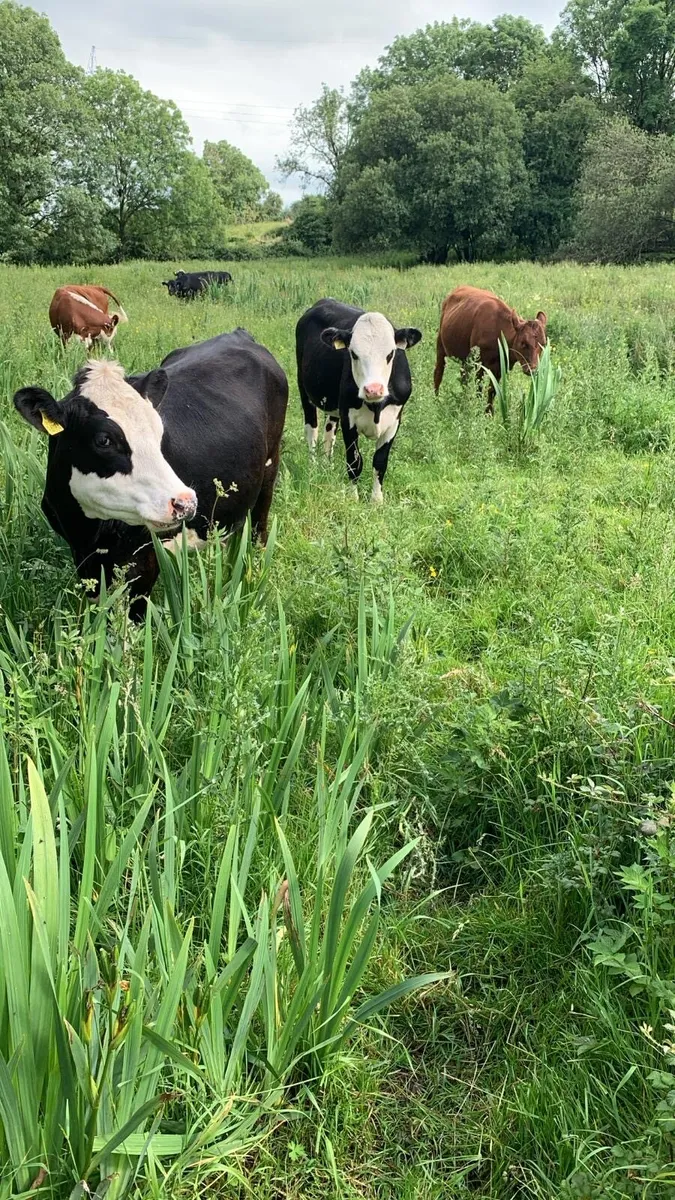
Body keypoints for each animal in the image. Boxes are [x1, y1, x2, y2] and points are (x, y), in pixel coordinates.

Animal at [13, 329, 288, 619]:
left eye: (159, 430)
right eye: (104, 440)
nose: (185, 502)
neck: (91, 532)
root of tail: (236, 334)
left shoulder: (145, 559)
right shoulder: (84, 558)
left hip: (270, 466)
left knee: (259, 525)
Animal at [295, 298, 422, 504]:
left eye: (390, 354)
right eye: (353, 354)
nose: (373, 389)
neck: (376, 406)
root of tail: (325, 300)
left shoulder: (395, 420)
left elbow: (380, 462)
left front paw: (377, 501)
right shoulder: (349, 420)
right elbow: (354, 461)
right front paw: (353, 498)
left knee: (329, 431)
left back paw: (327, 466)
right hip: (304, 388)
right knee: (311, 430)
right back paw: (313, 468)